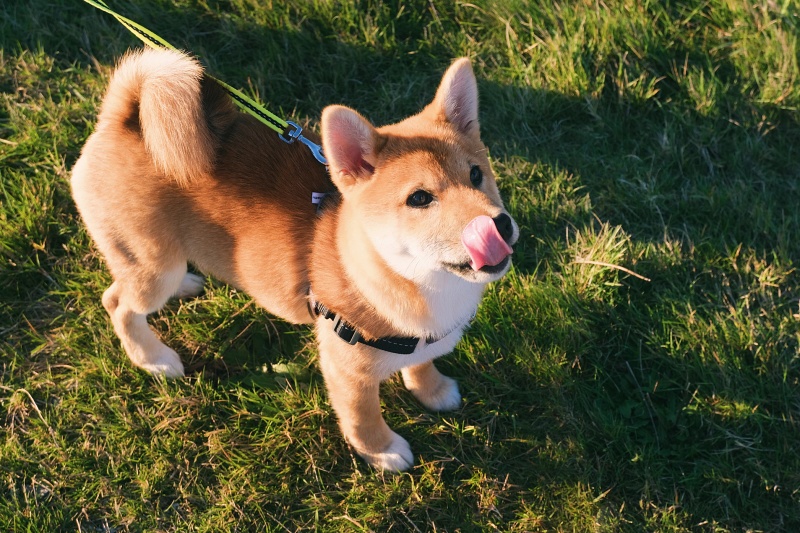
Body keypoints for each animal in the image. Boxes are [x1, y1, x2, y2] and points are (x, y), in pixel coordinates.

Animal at [70, 48, 520, 470]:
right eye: (420, 199)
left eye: (476, 174)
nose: (498, 225)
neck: (416, 282)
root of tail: (124, 120)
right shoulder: (347, 371)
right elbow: (362, 417)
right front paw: (382, 451)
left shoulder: (424, 339)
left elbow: (423, 363)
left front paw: (433, 390)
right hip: (151, 264)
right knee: (119, 303)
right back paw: (154, 358)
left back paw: (186, 285)